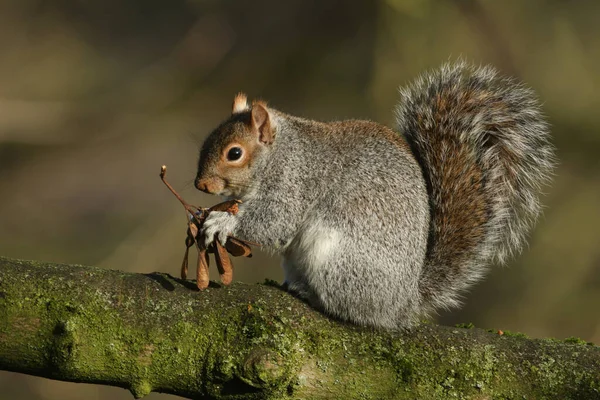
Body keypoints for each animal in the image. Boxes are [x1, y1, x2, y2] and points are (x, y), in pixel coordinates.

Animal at [195, 61, 556, 330]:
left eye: (235, 153)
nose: (201, 185)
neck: (281, 151)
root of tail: (403, 304)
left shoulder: (295, 183)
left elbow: (274, 223)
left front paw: (220, 222)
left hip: (339, 262)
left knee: (353, 309)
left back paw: (314, 297)